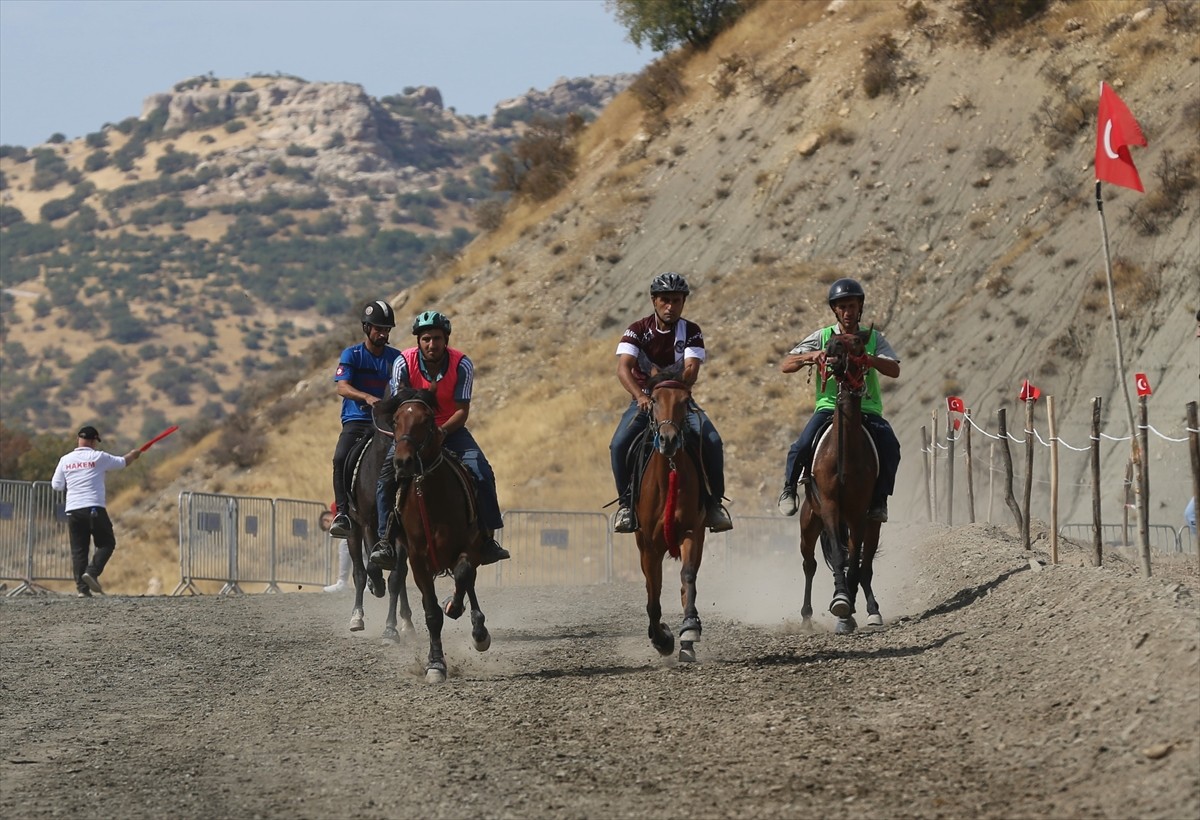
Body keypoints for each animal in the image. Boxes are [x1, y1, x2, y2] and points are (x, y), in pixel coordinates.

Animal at [388, 388, 492, 681]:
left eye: (427, 420)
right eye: (395, 420)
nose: (403, 462)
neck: (429, 494)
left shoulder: (469, 547)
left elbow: (463, 575)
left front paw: (455, 607)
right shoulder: (417, 559)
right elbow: (432, 613)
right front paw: (435, 663)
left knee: (468, 581)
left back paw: (478, 630)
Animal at [633, 374, 705, 662]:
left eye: (684, 401)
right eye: (653, 399)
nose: (669, 439)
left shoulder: (692, 532)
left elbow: (688, 577)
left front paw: (689, 629)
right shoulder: (649, 547)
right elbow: (653, 594)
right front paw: (662, 639)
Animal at [796, 331, 883, 633]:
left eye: (857, 342)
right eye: (832, 341)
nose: (832, 348)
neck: (844, 452)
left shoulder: (858, 513)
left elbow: (855, 562)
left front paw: (849, 606)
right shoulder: (830, 507)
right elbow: (836, 556)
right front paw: (841, 599)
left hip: (872, 523)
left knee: (865, 565)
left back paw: (870, 610)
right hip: (809, 521)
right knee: (809, 564)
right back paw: (807, 616)